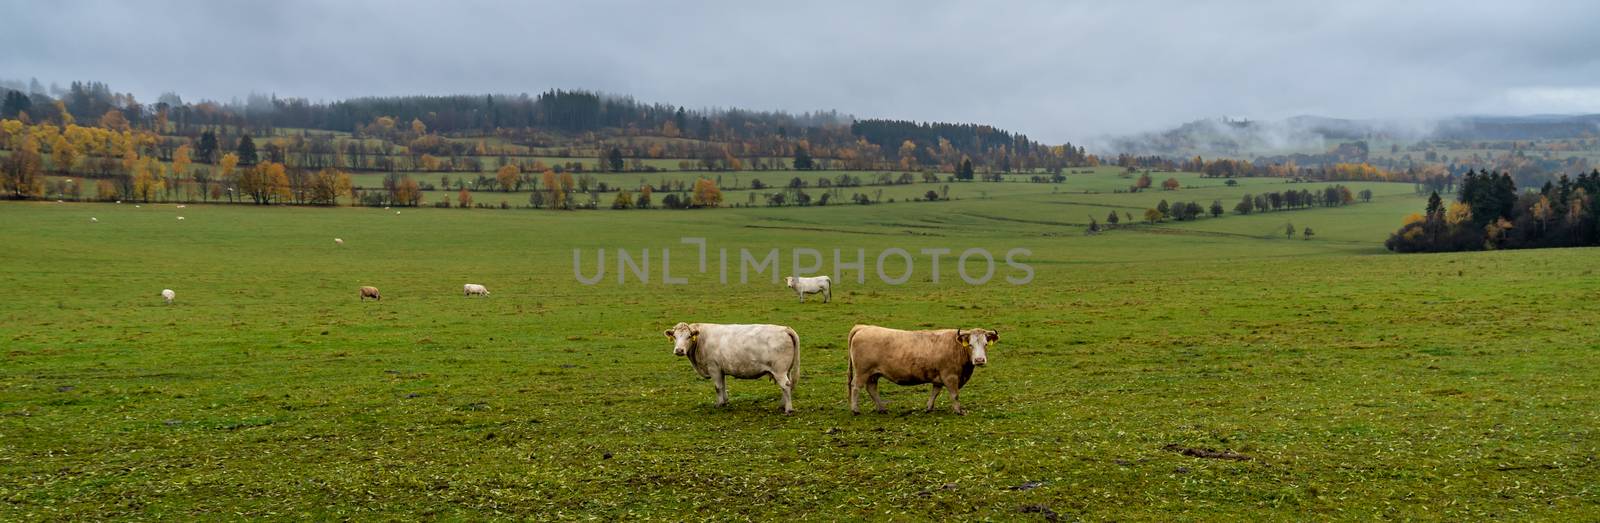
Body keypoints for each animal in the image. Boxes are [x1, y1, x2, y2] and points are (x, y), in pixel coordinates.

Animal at [662, 321, 800, 415]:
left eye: (689, 336)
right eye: (674, 337)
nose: (679, 350)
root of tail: (785, 329)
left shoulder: (713, 367)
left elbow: (717, 387)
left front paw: (719, 404)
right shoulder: (721, 369)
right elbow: (723, 386)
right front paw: (725, 402)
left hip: (779, 370)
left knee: (785, 385)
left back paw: (788, 409)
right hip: (785, 370)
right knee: (786, 386)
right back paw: (782, 405)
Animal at [844, 326, 992, 415]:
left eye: (985, 344)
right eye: (970, 345)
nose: (979, 360)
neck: (956, 345)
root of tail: (864, 327)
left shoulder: (938, 377)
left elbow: (935, 392)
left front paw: (929, 407)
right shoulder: (950, 376)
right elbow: (955, 394)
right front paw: (958, 410)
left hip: (873, 374)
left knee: (871, 388)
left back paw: (882, 408)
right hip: (862, 372)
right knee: (856, 386)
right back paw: (855, 409)